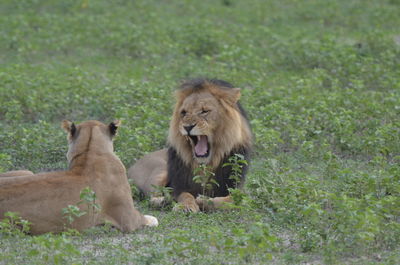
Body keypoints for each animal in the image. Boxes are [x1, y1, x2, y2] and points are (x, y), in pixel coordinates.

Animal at [128, 78, 253, 210]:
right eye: (184, 112)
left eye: (204, 111)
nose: (187, 127)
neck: (205, 165)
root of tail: (130, 167)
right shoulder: (180, 184)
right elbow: (185, 194)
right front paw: (186, 206)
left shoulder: (239, 189)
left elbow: (231, 199)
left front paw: (204, 200)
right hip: (159, 170)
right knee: (152, 195)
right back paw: (162, 201)